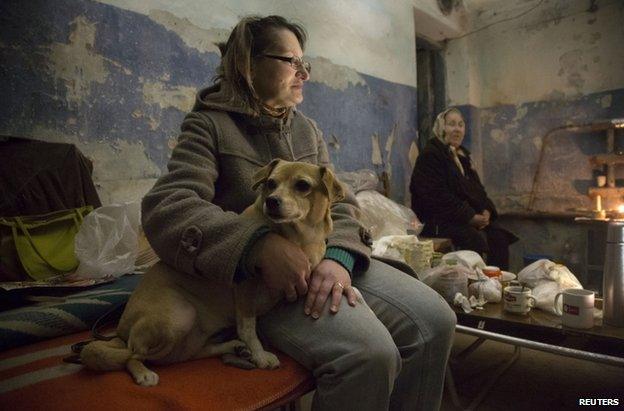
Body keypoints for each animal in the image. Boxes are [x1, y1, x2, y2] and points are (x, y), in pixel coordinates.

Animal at [79, 160, 346, 386]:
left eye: (302, 185)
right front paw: (260, 356)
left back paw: (233, 347)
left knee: (183, 356)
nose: (271, 201)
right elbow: (248, 328)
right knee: (134, 355)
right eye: (271, 183)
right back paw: (143, 373)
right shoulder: (245, 287)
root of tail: (120, 332)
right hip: (178, 317)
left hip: (190, 336)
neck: (301, 236)